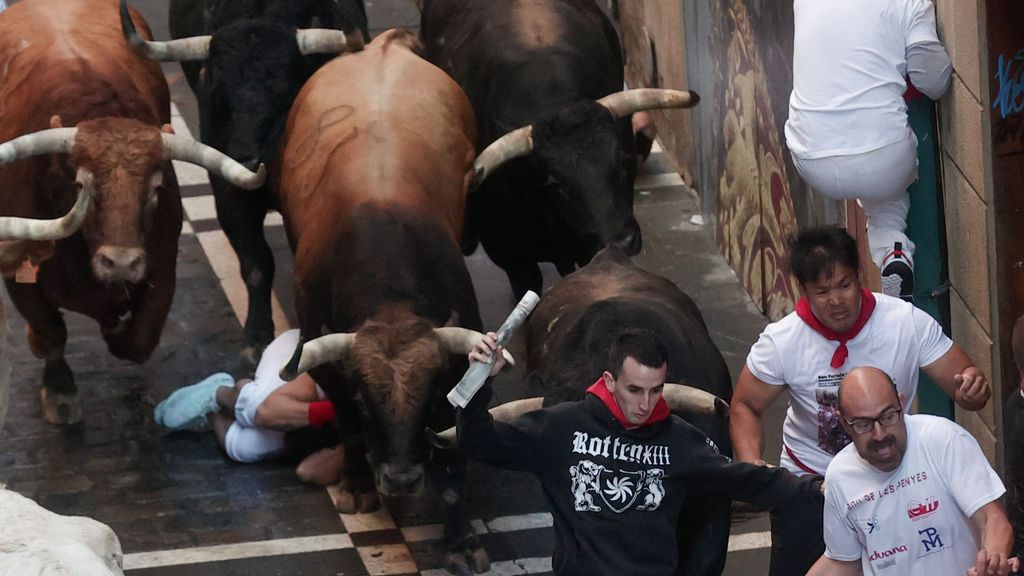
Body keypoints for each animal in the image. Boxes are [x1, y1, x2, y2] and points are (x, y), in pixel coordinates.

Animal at [0, 0, 266, 422]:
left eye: (156, 189)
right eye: (80, 185)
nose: (121, 263)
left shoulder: (162, 266)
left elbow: (137, 340)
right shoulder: (17, 273)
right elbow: (50, 332)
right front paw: (60, 391)